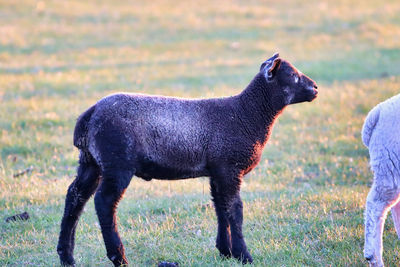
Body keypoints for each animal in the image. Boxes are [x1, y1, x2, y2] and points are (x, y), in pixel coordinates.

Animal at [57, 53, 318, 266]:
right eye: (293, 76)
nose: (315, 87)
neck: (247, 114)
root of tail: (90, 114)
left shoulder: (217, 170)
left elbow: (221, 208)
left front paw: (225, 252)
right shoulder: (229, 168)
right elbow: (235, 210)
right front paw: (244, 256)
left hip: (91, 162)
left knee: (75, 197)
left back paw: (66, 256)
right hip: (117, 162)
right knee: (104, 202)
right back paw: (118, 257)